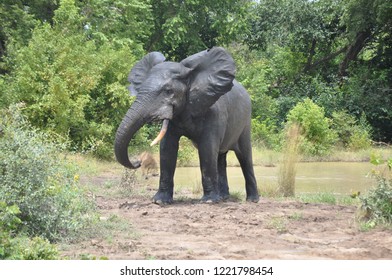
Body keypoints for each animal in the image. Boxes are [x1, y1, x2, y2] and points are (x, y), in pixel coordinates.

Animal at [114, 47, 260, 205]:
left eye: (168, 91)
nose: (138, 162)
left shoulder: (214, 112)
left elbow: (207, 149)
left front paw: (208, 201)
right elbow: (167, 149)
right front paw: (160, 201)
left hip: (246, 122)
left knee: (245, 156)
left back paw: (252, 200)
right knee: (220, 157)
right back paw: (223, 197)